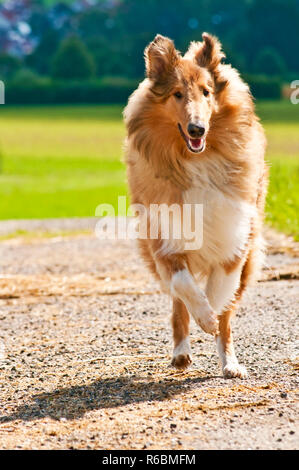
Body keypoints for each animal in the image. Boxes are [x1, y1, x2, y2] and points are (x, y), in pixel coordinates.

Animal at [123, 33, 268, 378]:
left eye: (207, 91)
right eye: (177, 94)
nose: (197, 129)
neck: (196, 159)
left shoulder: (235, 242)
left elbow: (219, 299)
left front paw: (212, 320)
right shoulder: (164, 240)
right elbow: (185, 288)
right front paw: (203, 316)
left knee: (226, 313)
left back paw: (230, 363)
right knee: (178, 303)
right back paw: (181, 352)